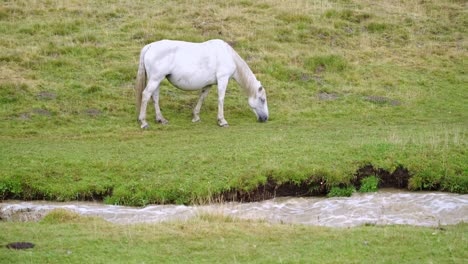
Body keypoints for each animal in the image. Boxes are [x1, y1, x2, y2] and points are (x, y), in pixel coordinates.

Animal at [134, 38, 266, 128]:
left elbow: (202, 97)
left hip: (157, 80)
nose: (265, 118)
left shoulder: (208, 84)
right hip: (155, 79)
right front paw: (222, 121)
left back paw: (161, 119)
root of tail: (150, 46)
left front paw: (196, 117)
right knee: (146, 95)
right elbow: (221, 99)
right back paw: (144, 122)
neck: (228, 55)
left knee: (155, 97)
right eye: (262, 100)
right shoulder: (223, 79)